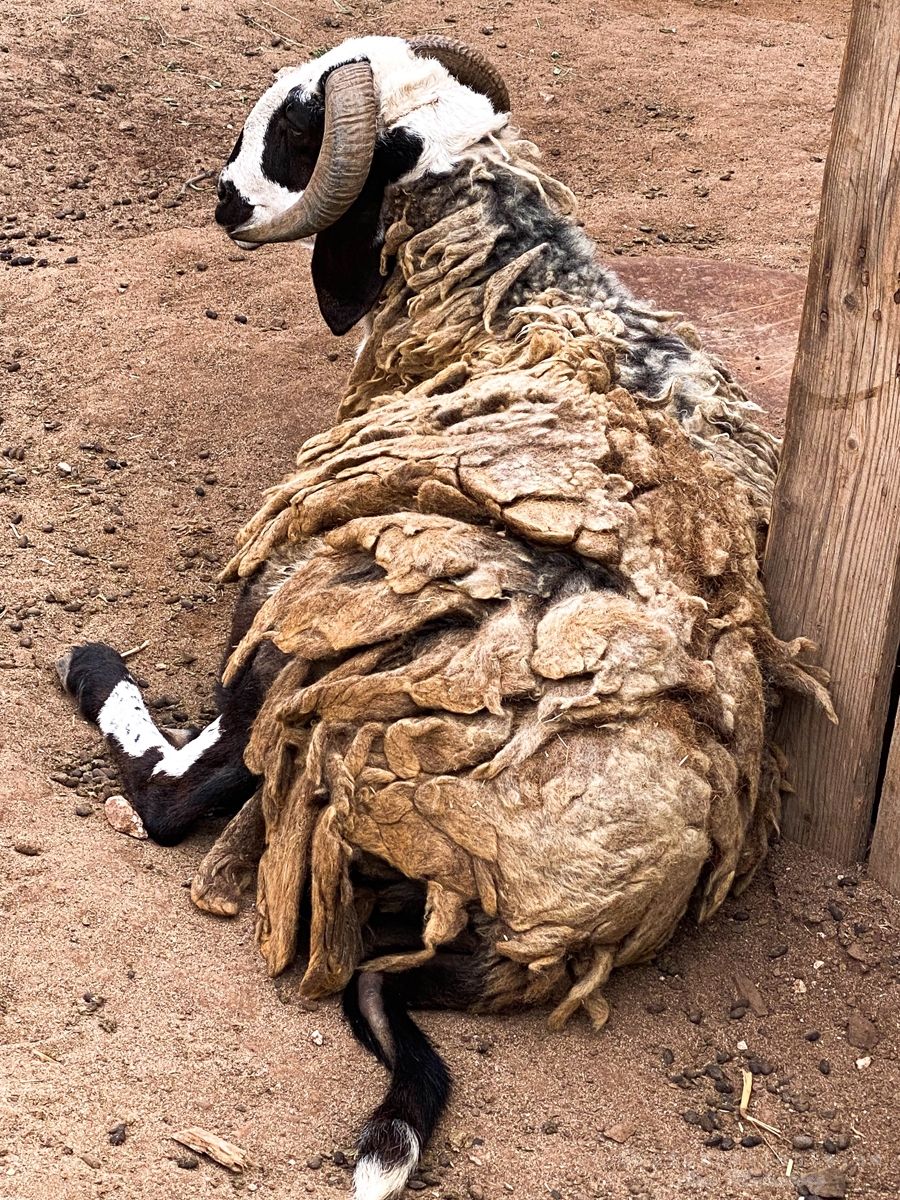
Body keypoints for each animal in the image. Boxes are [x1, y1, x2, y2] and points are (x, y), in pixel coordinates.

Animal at [60, 37, 835, 1200]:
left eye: (298, 128)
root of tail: (575, 903)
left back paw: (94, 671)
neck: (505, 273)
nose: (223, 199)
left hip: (320, 621)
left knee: (186, 790)